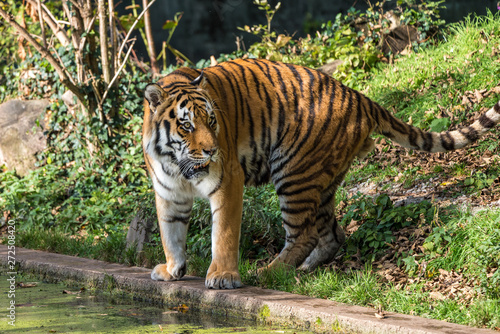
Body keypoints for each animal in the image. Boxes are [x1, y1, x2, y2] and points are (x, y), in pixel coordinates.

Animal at [142, 56, 500, 288]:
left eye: (212, 120)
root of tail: (360, 97)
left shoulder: (228, 182)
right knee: (332, 235)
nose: (212, 150)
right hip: (320, 179)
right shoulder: (168, 193)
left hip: (292, 172)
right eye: (187, 125)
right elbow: (171, 234)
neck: (176, 162)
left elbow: (224, 234)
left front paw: (222, 277)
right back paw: (302, 271)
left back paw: (269, 273)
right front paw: (172, 269)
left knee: (304, 234)